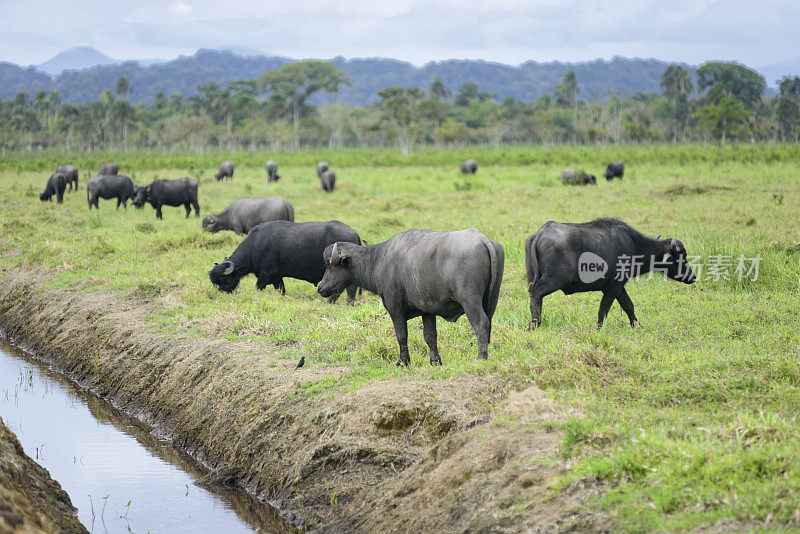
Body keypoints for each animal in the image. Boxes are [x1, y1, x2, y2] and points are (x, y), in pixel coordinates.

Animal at [208, 220, 360, 304]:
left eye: (222, 279)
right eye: (214, 282)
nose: (221, 293)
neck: (256, 245)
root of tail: (354, 234)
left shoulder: (264, 276)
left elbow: (258, 287)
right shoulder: (277, 278)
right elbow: (281, 290)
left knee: (349, 289)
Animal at [318, 228, 500, 366]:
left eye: (329, 264)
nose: (321, 288)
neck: (379, 260)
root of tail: (482, 239)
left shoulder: (395, 308)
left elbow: (401, 335)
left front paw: (403, 362)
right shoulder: (427, 311)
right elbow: (430, 336)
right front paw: (435, 362)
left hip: (470, 301)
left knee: (481, 324)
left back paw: (481, 358)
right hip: (491, 300)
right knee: (489, 323)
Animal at [524, 218, 692, 330]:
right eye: (681, 256)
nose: (693, 277)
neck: (634, 246)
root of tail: (540, 233)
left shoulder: (619, 287)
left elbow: (628, 305)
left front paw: (636, 326)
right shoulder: (613, 287)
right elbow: (604, 309)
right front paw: (599, 329)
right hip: (555, 279)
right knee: (537, 292)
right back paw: (535, 324)